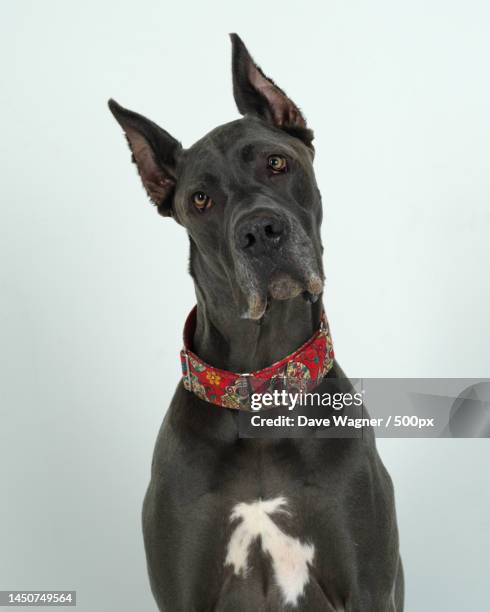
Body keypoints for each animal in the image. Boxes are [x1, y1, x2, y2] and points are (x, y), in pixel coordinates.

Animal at [109, 34, 404, 612]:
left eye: (277, 162)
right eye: (201, 198)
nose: (261, 231)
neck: (260, 383)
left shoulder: (367, 586)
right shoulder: (182, 589)